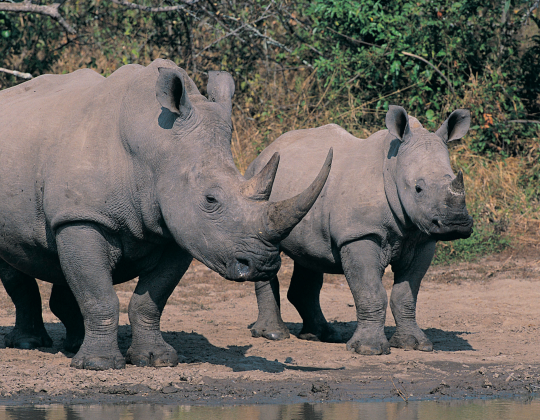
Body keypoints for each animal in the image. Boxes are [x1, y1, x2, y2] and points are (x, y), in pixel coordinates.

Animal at [0, 60, 332, 370]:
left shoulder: (182, 229)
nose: (264, 264)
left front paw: (155, 359)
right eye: (210, 199)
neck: (157, 149)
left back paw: (72, 345)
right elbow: (99, 296)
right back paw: (31, 344)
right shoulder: (82, 217)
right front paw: (99, 365)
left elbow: (150, 299)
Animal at [249, 107, 472, 354]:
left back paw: (323, 336)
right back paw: (274, 334)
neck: (393, 168)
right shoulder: (359, 234)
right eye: (418, 188)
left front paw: (415, 344)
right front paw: (369, 349)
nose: (456, 223)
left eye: (454, 179)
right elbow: (370, 291)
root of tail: (265, 150)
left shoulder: (422, 238)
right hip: (260, 184)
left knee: (309, 255)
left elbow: (406, 294)